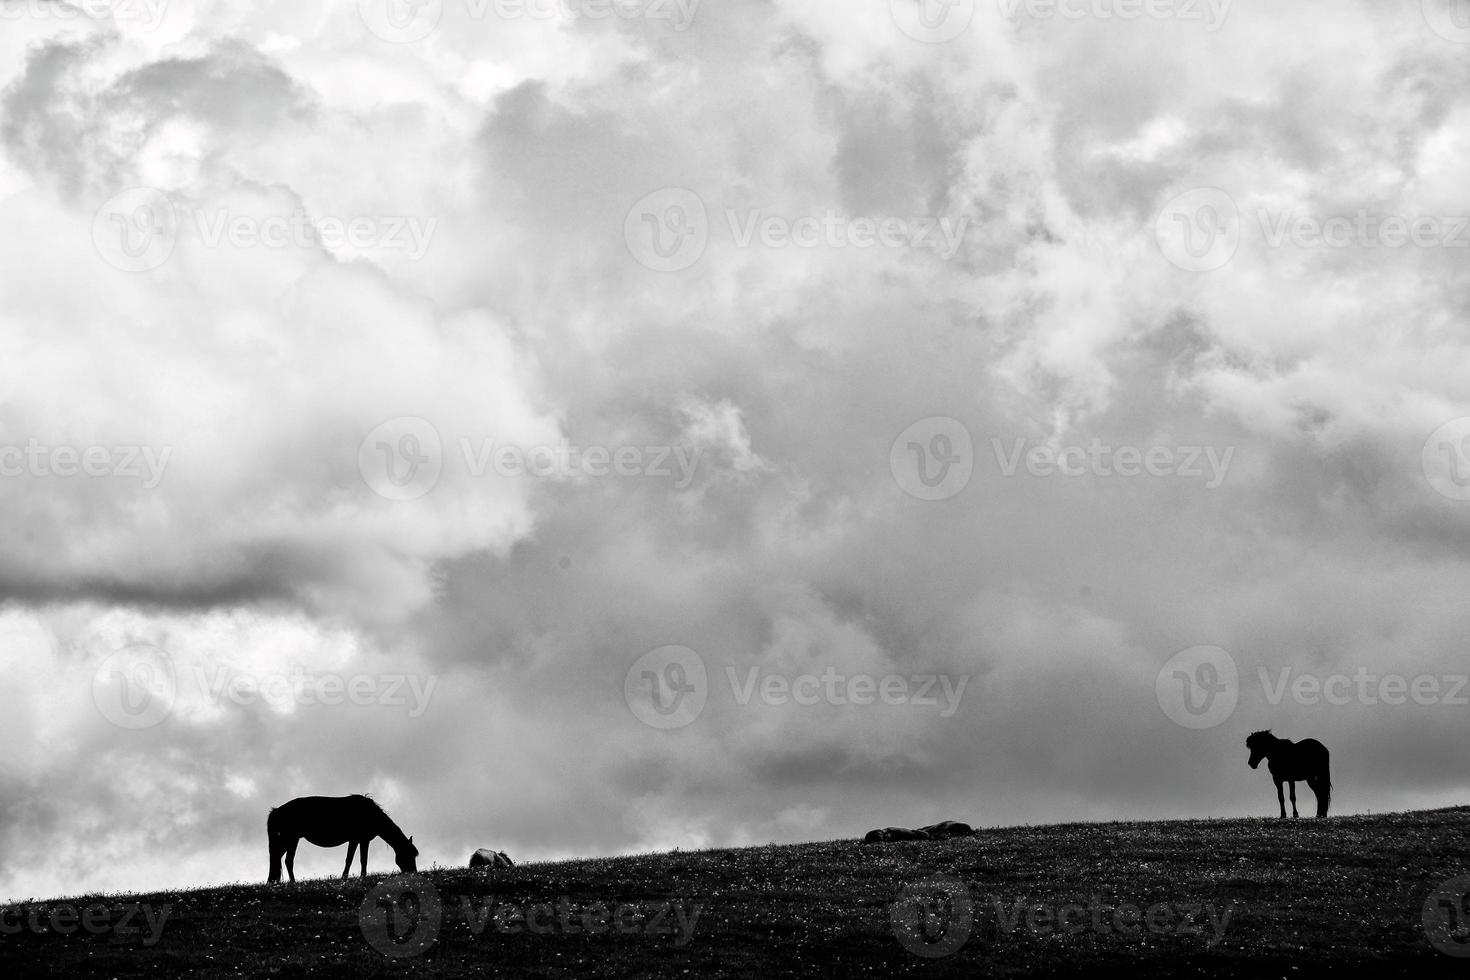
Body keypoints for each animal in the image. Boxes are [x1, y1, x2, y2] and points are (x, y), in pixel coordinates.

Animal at [261, 793, 414, 887]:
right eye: (409, 855)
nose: (414, 872)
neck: (371, 814)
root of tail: (277, 810)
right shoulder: (359, 839)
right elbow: (357, 859)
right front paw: (354, 877)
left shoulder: (359, 840)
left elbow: (356, 859)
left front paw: (352, 877)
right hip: (290, 837)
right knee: (284, 859)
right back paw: (291, 882)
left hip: (292, 839)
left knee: (282, 859)